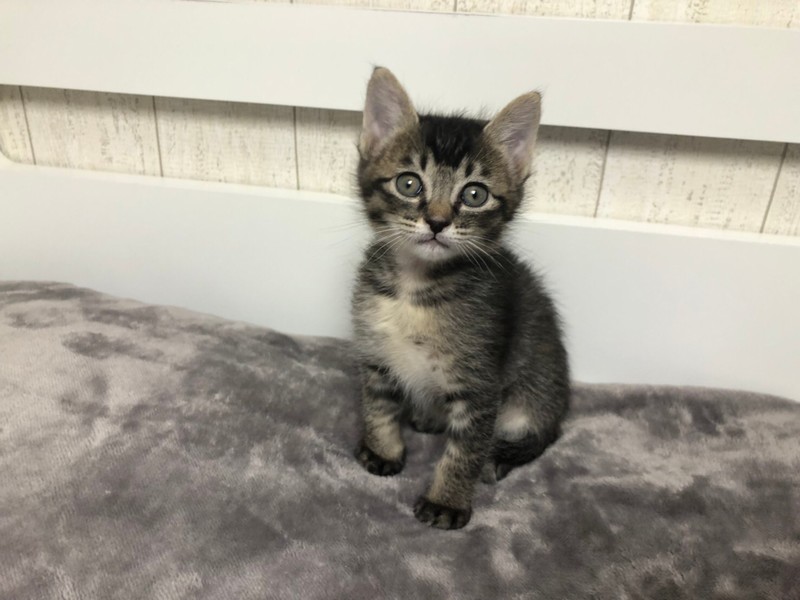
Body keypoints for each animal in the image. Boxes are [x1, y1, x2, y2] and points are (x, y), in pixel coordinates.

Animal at [352, 67, 570, 530]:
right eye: (409, 183)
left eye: (474, 194)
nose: (436, 222)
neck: (415, 288)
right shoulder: (375, 350)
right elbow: (378, 404)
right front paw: (383, 450)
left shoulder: (480, 382)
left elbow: (466, 448)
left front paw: (447, 501)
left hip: (534, 392)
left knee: (539, 437)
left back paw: (499, 457)